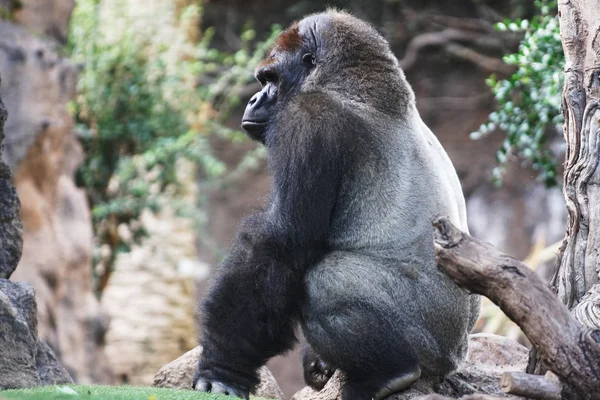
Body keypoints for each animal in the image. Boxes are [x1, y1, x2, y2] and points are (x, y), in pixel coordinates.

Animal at [195, 9, 480, 400]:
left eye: (271, 79)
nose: (252, 100)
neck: (355, 85)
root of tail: (457, 355)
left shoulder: (309, 120)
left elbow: (280, 243)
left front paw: (223, 367)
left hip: (433, 343)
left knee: (327, 283)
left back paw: (389, 373)